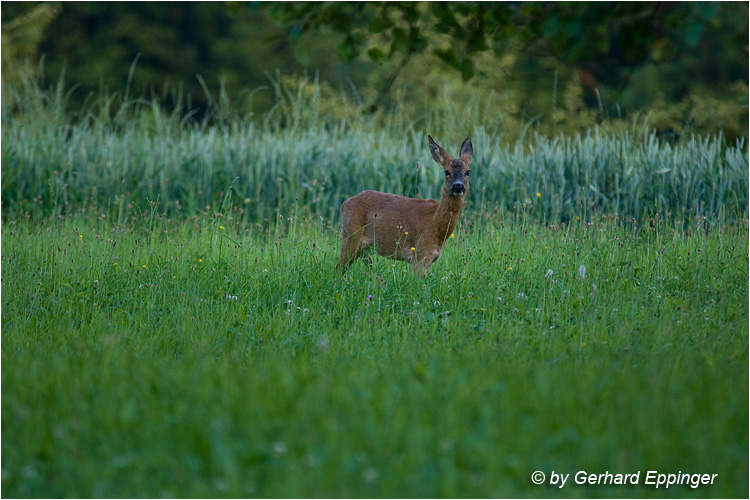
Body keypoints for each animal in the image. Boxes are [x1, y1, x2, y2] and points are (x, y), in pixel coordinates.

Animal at [338, 135, 473, 276]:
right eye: (446, 172)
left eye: (467, 172)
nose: (458, 186)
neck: (434, 223)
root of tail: (345, 203)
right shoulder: (419, 254)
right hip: (351, 237)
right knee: (338, 268)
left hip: (363, 247)